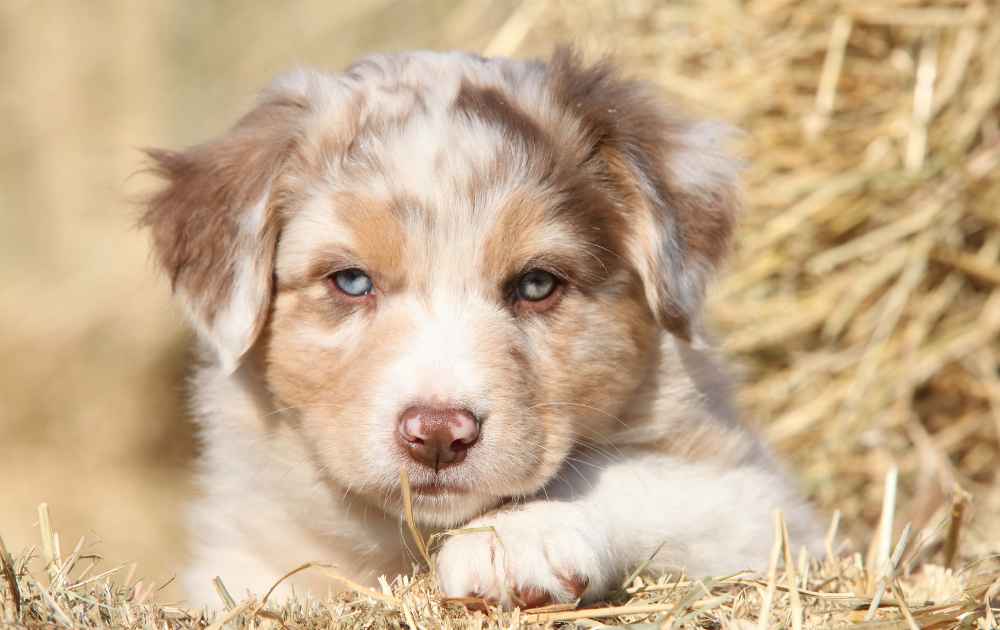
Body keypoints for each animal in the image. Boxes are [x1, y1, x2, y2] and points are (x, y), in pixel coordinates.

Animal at [145, 47, 824, 608]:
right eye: (353, 282)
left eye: (536, 285)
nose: (438, 435)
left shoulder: (762, 503)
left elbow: (630, 476)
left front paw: (516, 540)